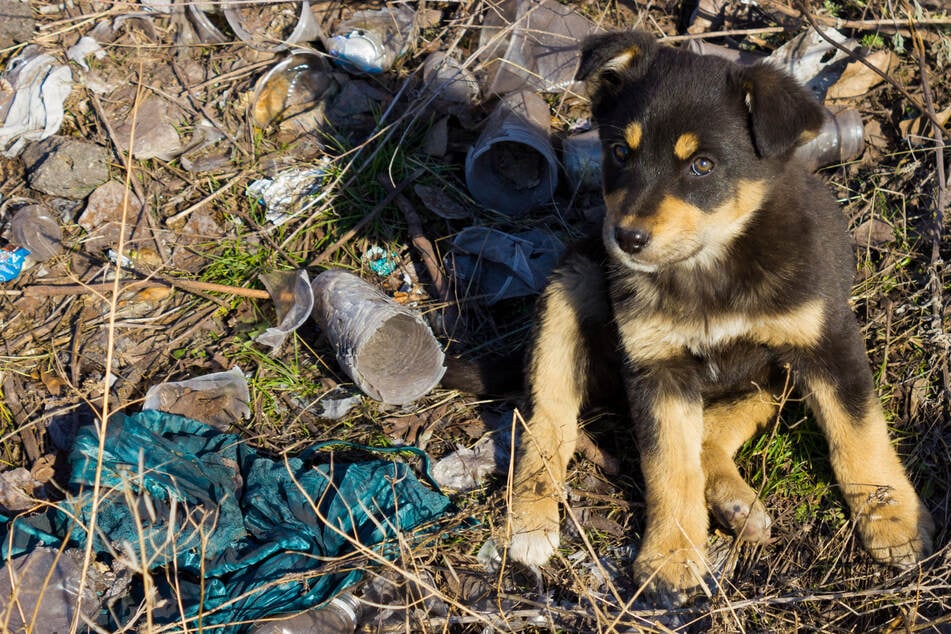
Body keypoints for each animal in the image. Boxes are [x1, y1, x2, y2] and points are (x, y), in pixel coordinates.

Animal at [512, 30, 936, 604]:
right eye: (620, 152)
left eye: (702, 166)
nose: (627, 239)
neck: (709, 266)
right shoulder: (656, 368)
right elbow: (669, 466)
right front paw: (671, 555)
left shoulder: (825, 341)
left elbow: (859, 434)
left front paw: (894, 521)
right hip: (570, 282)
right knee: (548, 419)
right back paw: (531, 522)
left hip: (768, 379)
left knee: (710, 436)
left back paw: (737, 506)